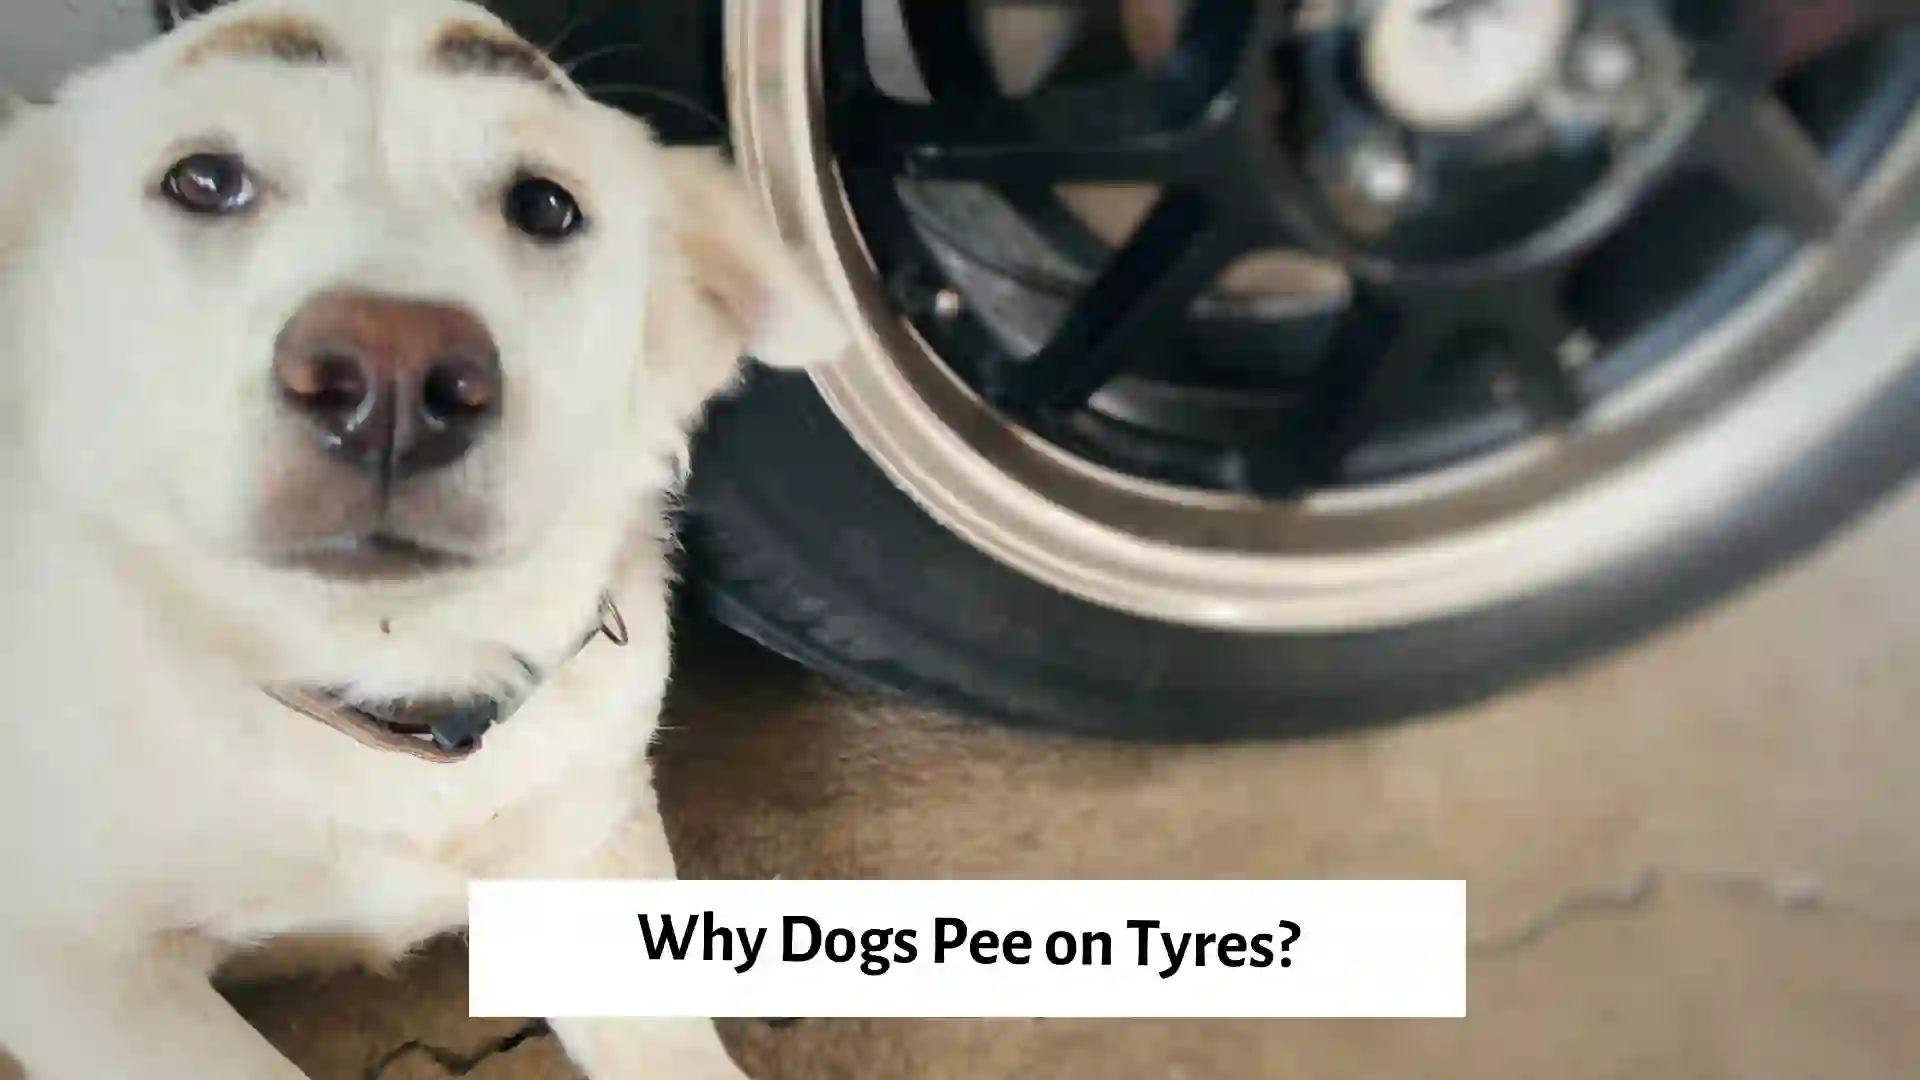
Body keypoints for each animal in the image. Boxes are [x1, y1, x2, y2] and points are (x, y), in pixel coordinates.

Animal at [0, 4, 848, 1068]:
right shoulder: (73, 961)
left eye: (545, 206)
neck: (378, 684)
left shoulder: (587, 843)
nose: (391, 376)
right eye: (203, 180)